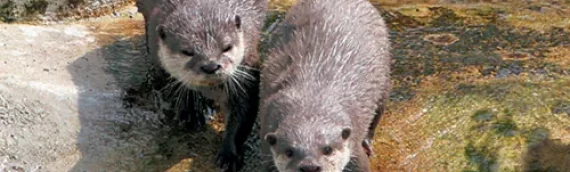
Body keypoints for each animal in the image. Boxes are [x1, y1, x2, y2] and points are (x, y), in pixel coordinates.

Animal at [135, 0, 266, 171]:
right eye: (187, 52)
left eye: (227, 47)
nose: (211, 66)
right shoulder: (157, 51)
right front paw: (191, 110)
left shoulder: (247, 63)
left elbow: (243, 109)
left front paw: (230, 154)